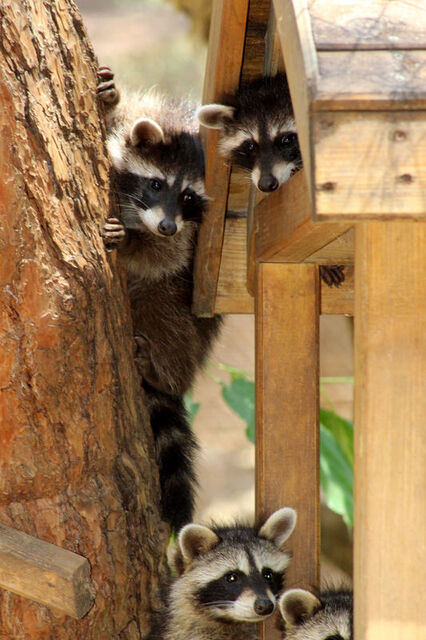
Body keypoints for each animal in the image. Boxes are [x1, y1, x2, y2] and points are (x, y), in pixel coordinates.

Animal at [98, 68, 222, 532]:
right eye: (156, 184)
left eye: (189, 198)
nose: (166, 226)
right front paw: (110, 99)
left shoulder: (193, 235)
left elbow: (166, 257)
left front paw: (136, 241)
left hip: (185, 318)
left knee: (168, 315)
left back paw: (162, 373)